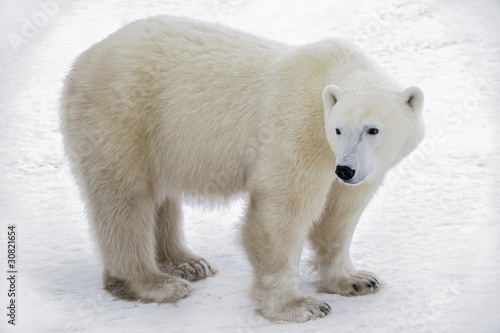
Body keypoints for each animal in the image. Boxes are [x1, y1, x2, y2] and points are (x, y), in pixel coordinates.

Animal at [60, 15, 424, 322]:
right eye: (337, 129)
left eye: (372, 130)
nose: (345, 170)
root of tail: (84, 59)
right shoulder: (298, 127)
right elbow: (282, 209)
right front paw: (301, 306)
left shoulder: (359, 167)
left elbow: (339, 214)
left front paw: (357, 280)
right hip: (124, 115)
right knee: (126, 198)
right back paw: (154, 283)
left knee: (159, 194)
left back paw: (188, 263)